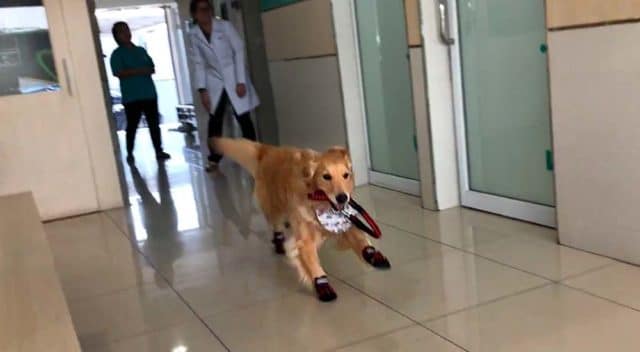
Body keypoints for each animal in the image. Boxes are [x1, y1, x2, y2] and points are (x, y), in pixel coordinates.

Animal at [212, 137, 390, 300]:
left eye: (346, 175)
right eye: (326, 177)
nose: (342, 198)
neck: (319, 202)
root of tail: (267, 150)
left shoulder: (343, 222)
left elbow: (359, 238)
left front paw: (373, 255)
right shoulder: (305, 240)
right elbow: (312, 262)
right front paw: (322, 284)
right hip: (274, 206)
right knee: (276, 225)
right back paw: (279, 242)